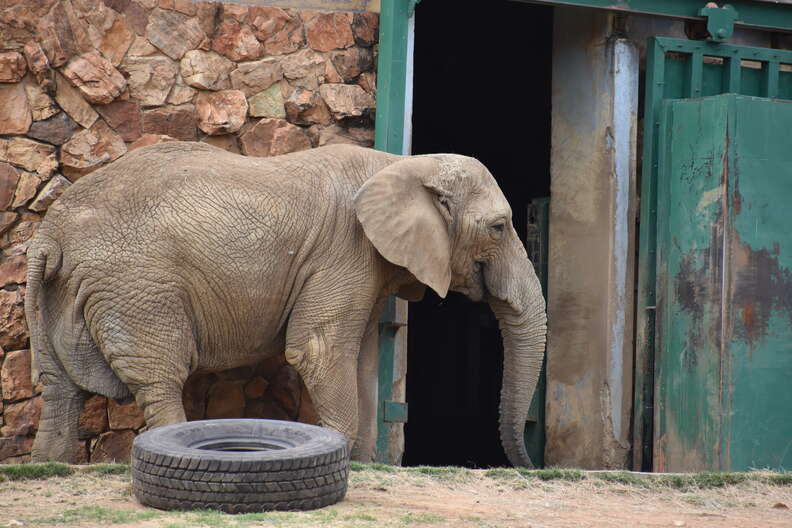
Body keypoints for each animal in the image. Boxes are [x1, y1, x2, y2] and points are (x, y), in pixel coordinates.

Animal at [24, 141, 544, 466]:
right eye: (499, 227)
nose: (526, 463)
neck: (402, 163)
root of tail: (49, 235)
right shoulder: (344, 250)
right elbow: (320, 351)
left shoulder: (364, 264)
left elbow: (362, 358)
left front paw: (366, 465)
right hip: (138, 287)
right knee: (159, 377)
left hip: (63, 292)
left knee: (58, 383)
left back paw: (49, 464)